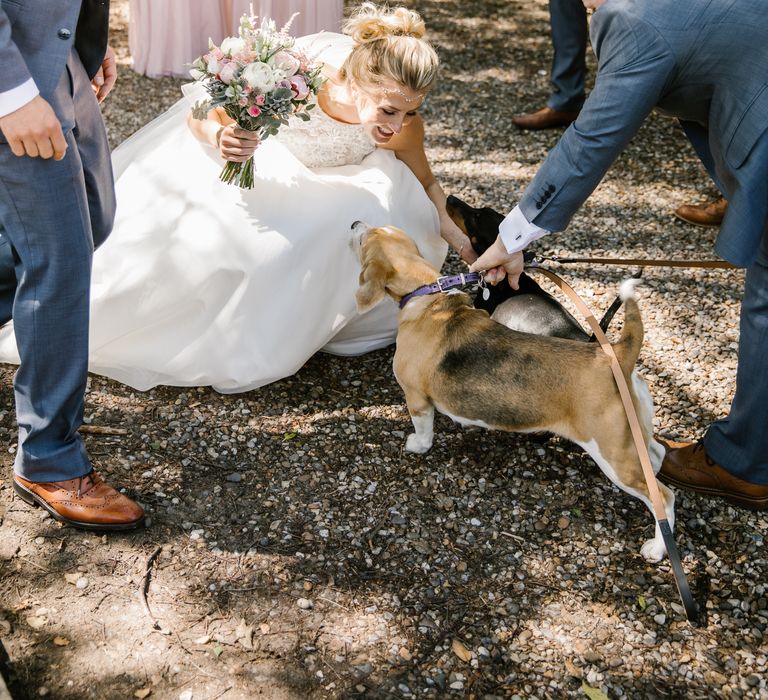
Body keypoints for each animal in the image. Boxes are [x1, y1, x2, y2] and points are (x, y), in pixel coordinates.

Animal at [354, 224, 672, 564]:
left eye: (364, 238)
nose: (354, 224)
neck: (426, 293)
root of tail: (617, 354)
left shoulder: (416, 398)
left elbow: (423, 430)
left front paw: (416, 445)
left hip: (613, 454)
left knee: (664, 498)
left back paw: (657, 548)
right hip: (633, 436)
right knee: (657, 456)